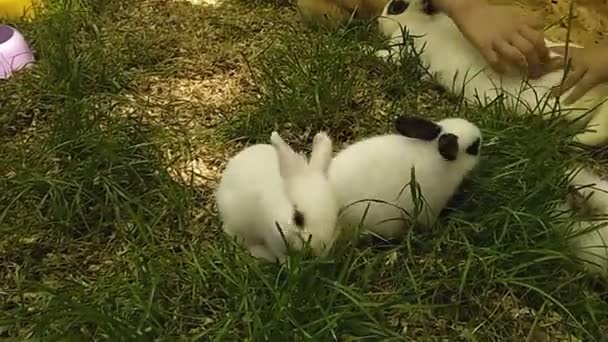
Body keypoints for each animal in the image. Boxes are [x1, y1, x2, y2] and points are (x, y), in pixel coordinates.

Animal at [378, 0, 608, 146]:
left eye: (396, 6)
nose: (378, 20)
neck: (426, 22)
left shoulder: (404, 48)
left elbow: (390, 56)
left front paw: (373, 52)